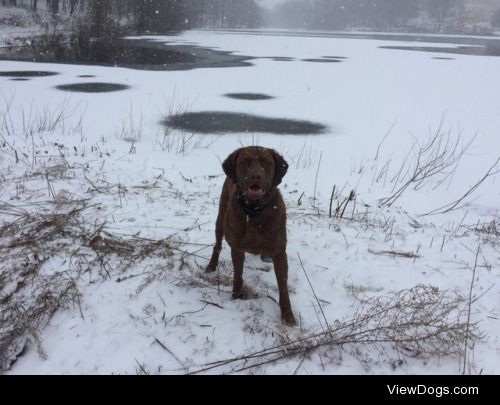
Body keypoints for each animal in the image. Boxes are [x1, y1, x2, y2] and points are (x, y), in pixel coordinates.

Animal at [206, 145, 294, 326]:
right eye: (245, 162)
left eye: (266, 162)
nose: (255, 176)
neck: (254, 211)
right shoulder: (237, 248)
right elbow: (238, 273)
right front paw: (236, 295)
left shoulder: (280, 252)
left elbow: (283, 285)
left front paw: (288, 315)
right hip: (221, 218)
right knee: (217, 244)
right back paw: (211, 265)